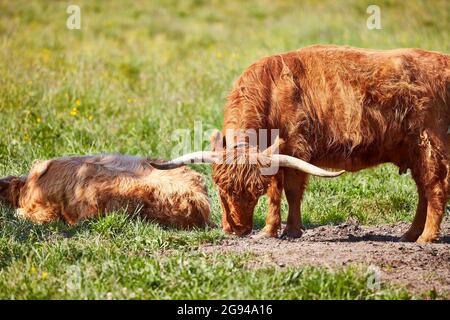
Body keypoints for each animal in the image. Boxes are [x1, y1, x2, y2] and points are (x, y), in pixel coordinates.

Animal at [153, 45, 448, 244]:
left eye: (255, 192)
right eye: (222, 189)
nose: (239, 229)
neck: (269, 94)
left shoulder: (295, 148)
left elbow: (289, 191)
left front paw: (284, 231)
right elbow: (278, 189)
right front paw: (272, 229)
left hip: (429, 144)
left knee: (435, 188)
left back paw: (426, 237)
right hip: (414, 152)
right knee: (423, 189)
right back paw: (409, 234)